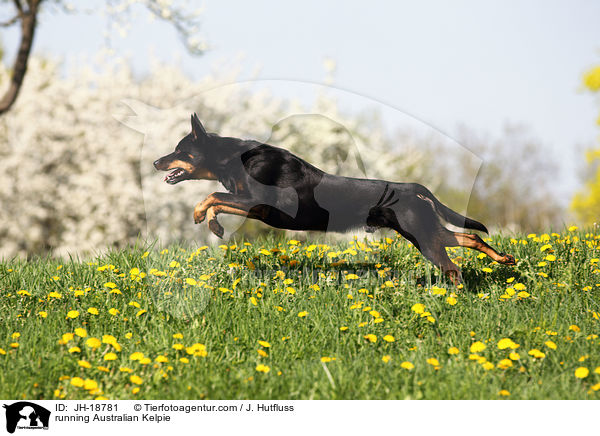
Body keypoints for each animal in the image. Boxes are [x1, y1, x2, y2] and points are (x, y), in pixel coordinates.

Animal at [155, 114, 516, 282]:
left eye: (180, 150)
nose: (157, 162)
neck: (234, 159)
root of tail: (412, 187)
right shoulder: (254, 207)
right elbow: (218, 198)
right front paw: (213, 224)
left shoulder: (261, 204)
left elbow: (212, 194)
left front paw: (202, 217)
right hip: (423, 231)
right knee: (469, 238)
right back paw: (504, 259)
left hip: (422, 236)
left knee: (453, 266)